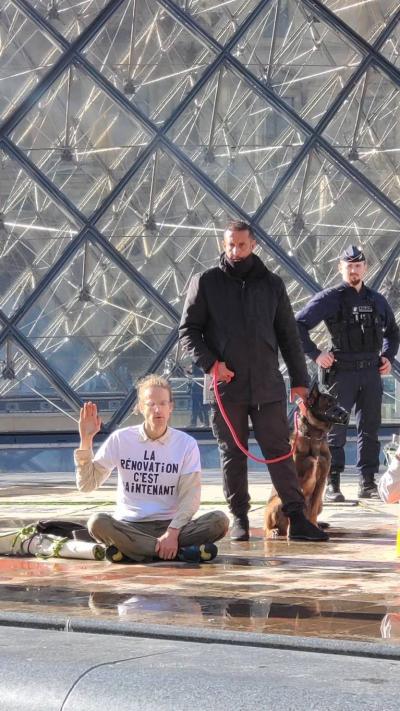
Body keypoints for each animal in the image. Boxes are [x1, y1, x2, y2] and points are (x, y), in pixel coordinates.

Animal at [264, 384, 348, 540]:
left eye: (337, 402)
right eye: (329, 403)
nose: (346, 414)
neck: (314, 436)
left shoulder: (321, 481)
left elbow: (312, 510)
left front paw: (313, 526)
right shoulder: (297, 478)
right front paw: (295, 530)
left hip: (321, 503)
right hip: (277, 503)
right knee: (267, 526)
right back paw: (274, 531)